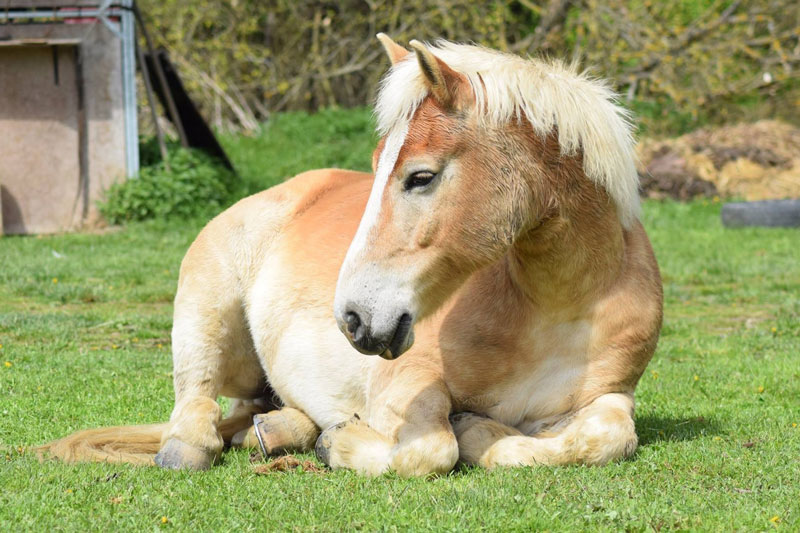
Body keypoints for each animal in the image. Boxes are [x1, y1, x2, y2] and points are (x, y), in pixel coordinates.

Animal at [39, 35, 662, 476]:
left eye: (420, 176)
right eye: (378, 165)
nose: (355, 319)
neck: (554, 307)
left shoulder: (611, 396)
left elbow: (607, 438)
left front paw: (486, 434)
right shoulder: (404, 385)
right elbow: (431, 450)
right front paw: (350, 443)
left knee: (251, 413)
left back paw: (280, 433)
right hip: (205, 312)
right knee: (196, 397)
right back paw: (202, 445)